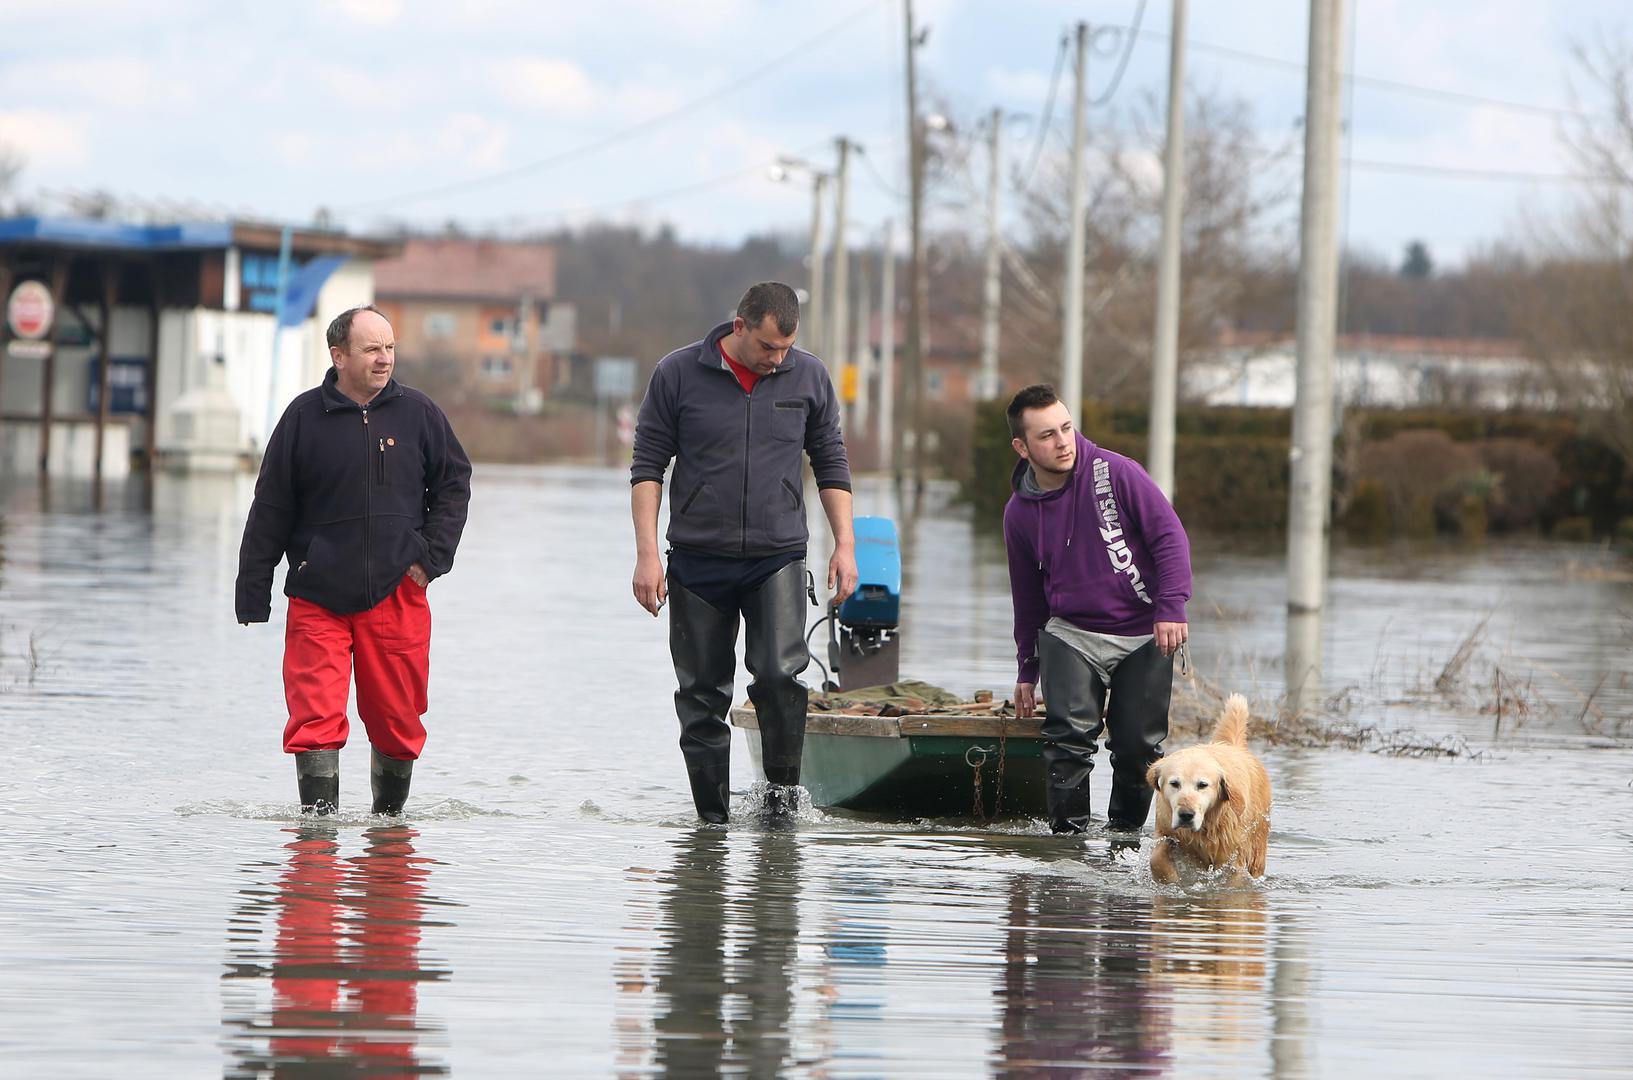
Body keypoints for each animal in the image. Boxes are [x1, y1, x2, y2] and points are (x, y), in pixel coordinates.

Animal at [1143, 696, 1267, 882]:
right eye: (1174, 783)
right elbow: (1157, 857)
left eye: (1202, 785)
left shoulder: (1234, 852)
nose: (1186, 815)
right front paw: (1171, 879)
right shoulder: (1166, 829)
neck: (1207, 824)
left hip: (1258, 846)